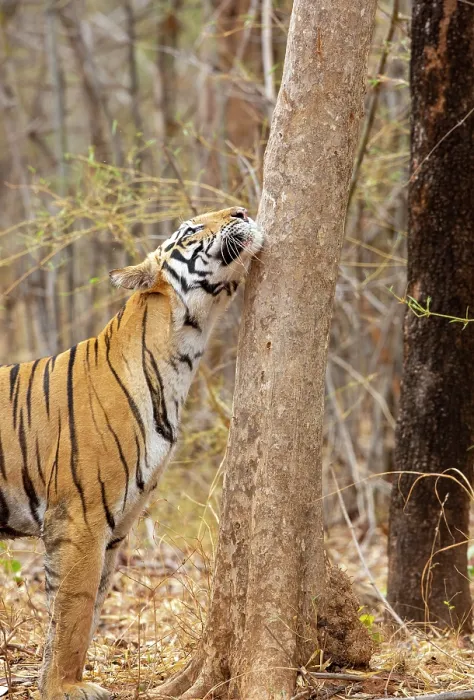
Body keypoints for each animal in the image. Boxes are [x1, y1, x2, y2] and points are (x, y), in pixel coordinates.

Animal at [0, 207, 263, 700]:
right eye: (191, 230)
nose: (241, 210)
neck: (181, 355)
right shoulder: (80, 518)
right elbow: (74, 607)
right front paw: (66, 687)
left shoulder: (119, 524)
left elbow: (90, 605)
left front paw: (57, 681)